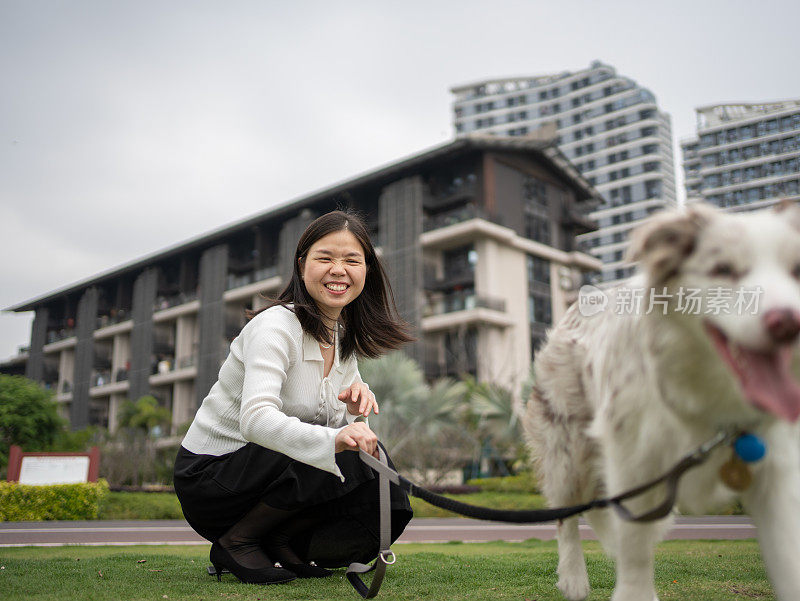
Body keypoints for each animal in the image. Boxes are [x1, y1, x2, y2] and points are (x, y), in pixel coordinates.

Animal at [520, 203, 800, 600]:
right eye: (723, 269)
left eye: (797, 271)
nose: (789, 323)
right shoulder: (633, 465)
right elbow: (634, 554)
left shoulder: (775, 472)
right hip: (566, 452)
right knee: (567, 513)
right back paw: (574, 579)